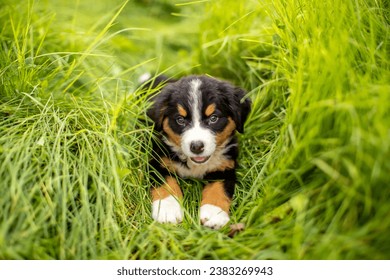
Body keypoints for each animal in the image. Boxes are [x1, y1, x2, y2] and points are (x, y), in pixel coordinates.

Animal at [145, 75, 251, 230]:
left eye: (213, 118)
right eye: (180, 120)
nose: (196, 146)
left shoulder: (225, 167)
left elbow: (218, 189)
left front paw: (214, 214)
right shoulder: (157, 162)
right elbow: (166, 185)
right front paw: (168, 211)